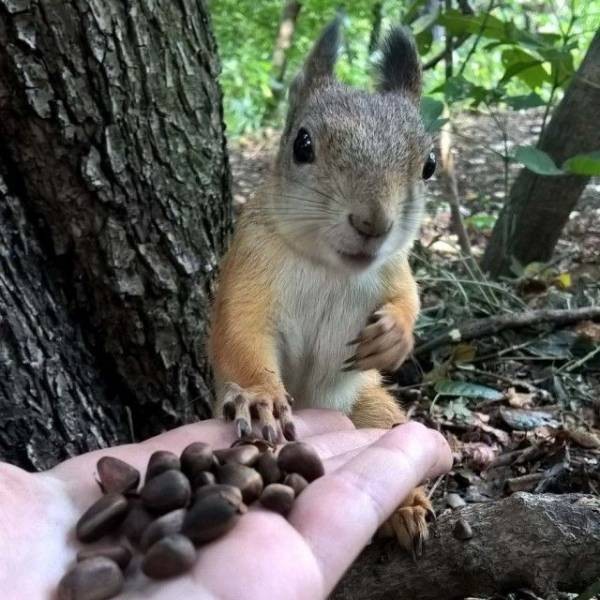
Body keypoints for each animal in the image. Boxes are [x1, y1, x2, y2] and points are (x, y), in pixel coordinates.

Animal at [210, 18, 436, 552]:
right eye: (303, 145)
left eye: (429, 165)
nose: (373, 223)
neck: (331, 268)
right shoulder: (248, 265)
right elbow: (239, 331)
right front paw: (260, 395)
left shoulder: (395, 266)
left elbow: (410, 298)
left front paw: (394, 335)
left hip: (372, 409)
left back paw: (408, 508)